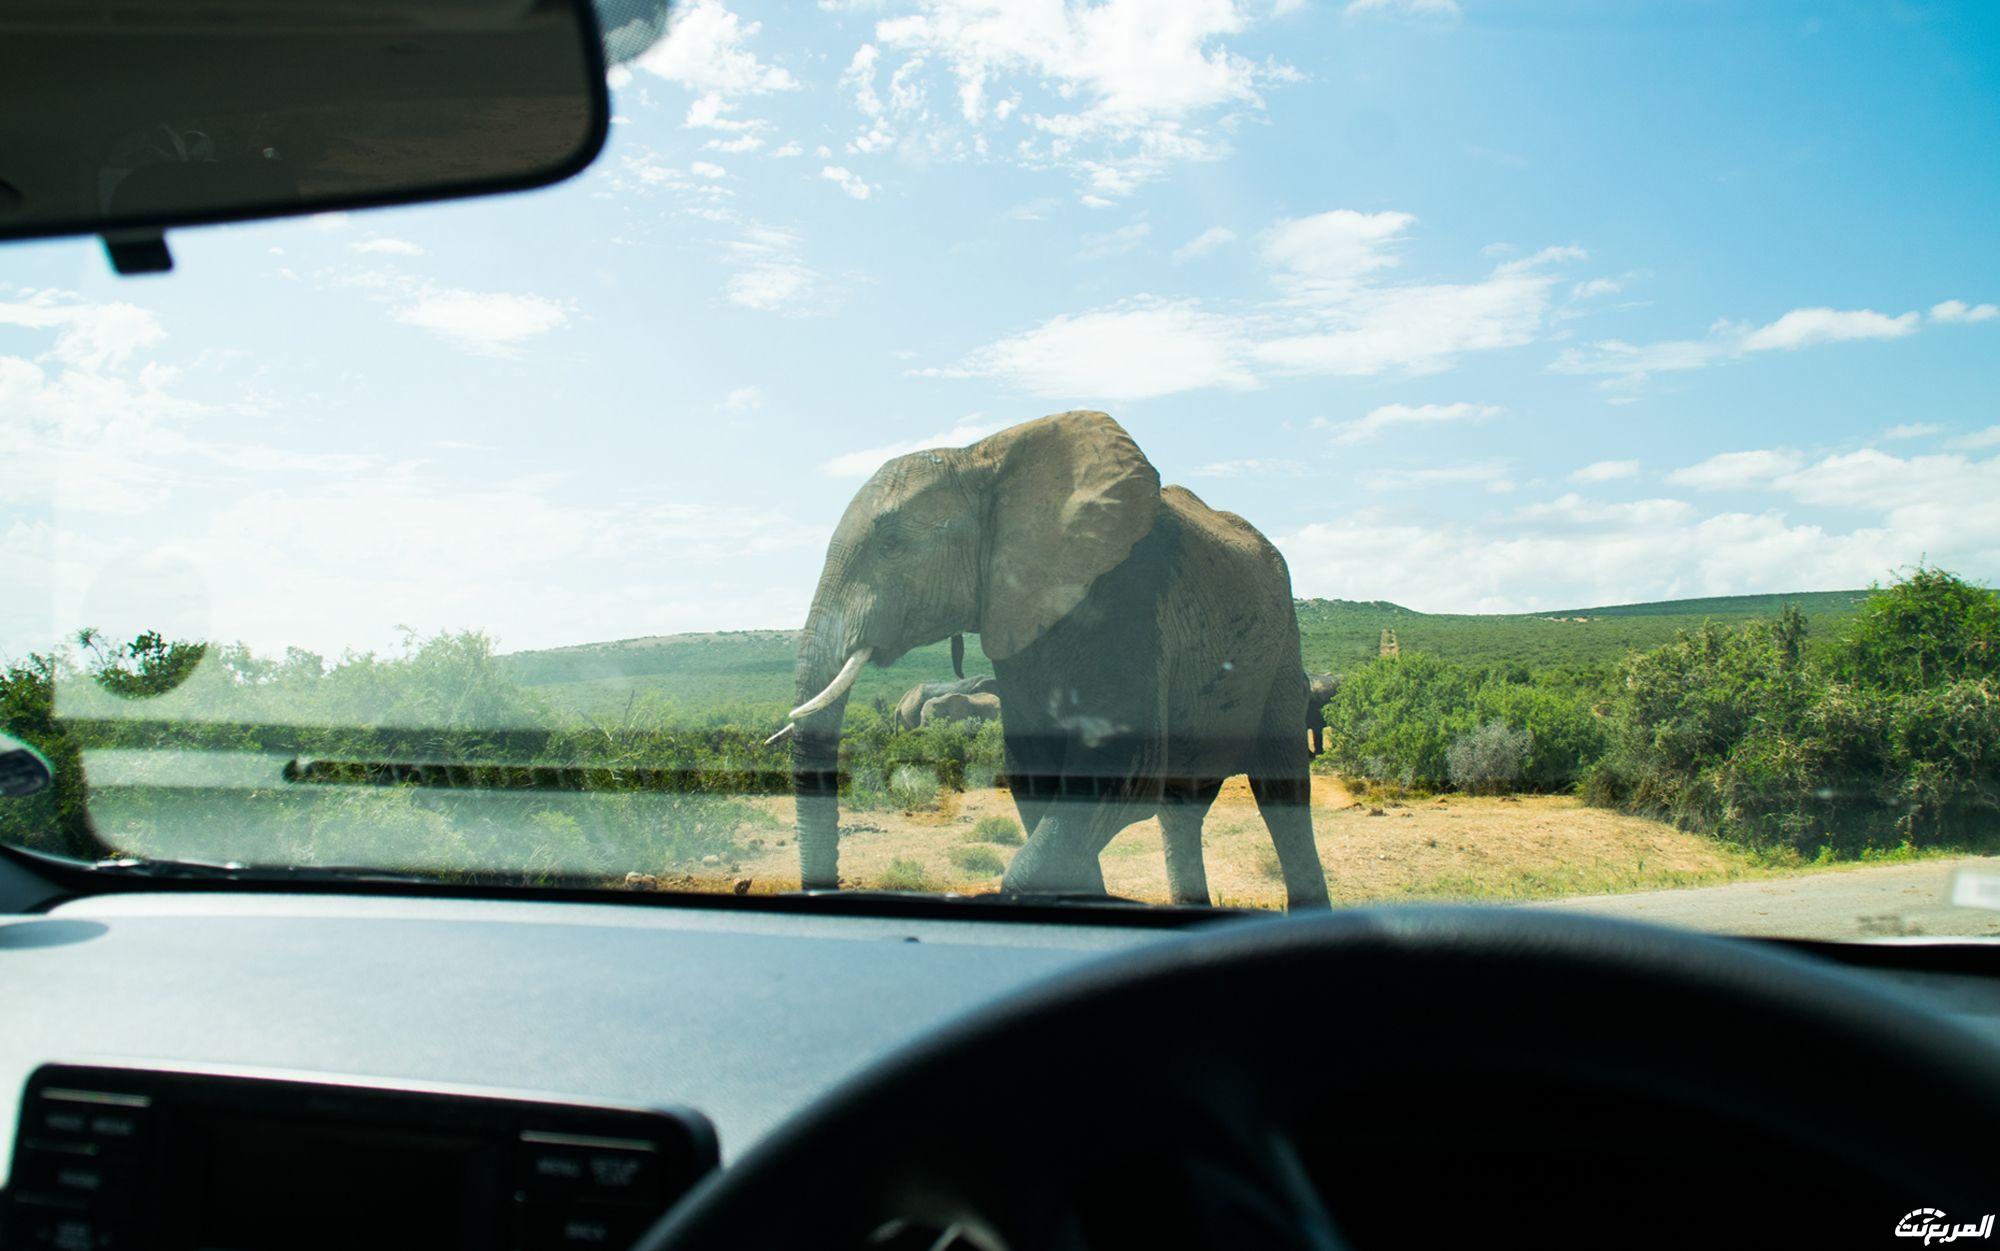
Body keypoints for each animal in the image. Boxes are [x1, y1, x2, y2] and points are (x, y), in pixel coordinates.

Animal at [772, 409, 1336, 907]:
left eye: (891, 544)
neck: (981, 458)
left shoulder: (1129, 596)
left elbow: (1123, 769)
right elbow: (1035, 776)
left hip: (1282, 647)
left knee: (1281, 794)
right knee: (1180, 810)